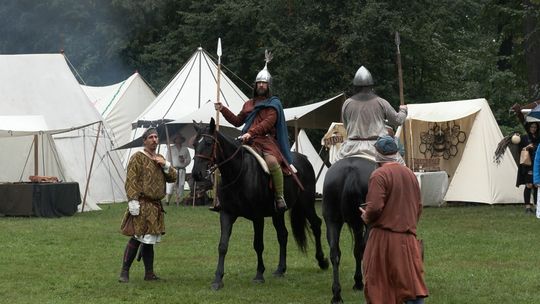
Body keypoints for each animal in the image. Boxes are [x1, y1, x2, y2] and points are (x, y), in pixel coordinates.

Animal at [194, 118, 330, 290]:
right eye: (194, 144)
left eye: (208, 142)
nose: (196, 174)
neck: (238, 172)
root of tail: (304, 159)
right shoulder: (226, 214)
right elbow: (222, 245)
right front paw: (218, 279)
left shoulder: (257, 217)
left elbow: (258, 244)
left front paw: (259, 274)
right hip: (278, 212)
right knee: (283, 235)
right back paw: (280, 269)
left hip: (306, 203)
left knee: (316, 225)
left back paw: (322, 261)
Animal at [322, 157, 378, 304]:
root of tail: (351, 171)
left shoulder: (356, 225)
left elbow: (356, 251)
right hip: (366, 223)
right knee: (363, 248)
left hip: (333, 221)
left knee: (335, 253)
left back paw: (336, 294)